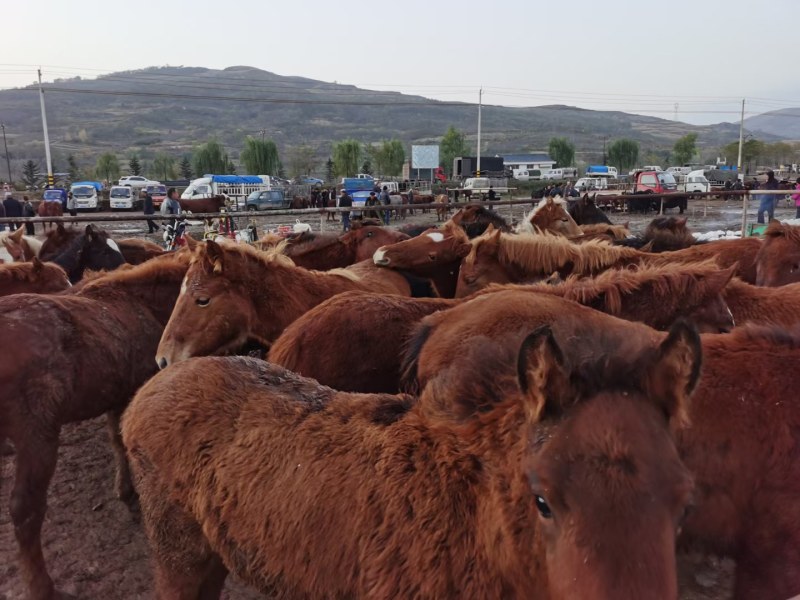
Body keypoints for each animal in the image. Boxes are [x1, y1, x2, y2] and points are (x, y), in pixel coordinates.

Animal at [0, 252, 189, 600]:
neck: (140, 303)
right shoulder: (133, 390)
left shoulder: (117, 395)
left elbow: (116, 440)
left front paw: (124, 489)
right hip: (37, 439)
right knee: (25, 511)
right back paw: (41, 585)